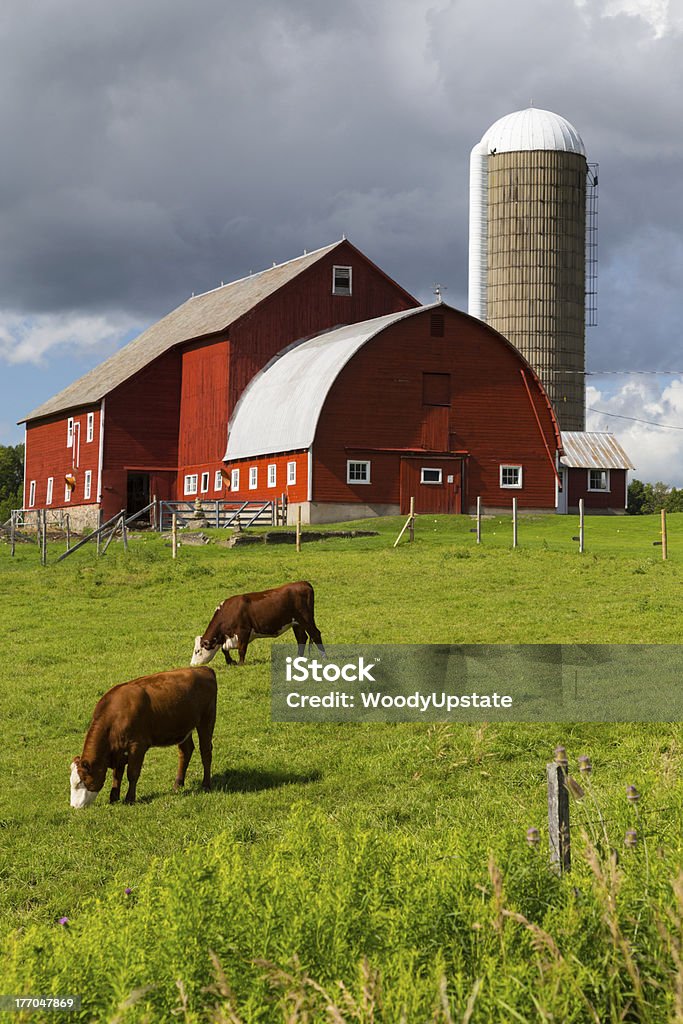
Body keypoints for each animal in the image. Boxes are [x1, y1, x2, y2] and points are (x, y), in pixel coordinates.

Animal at [69, 667, 216, 811]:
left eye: (81, 781)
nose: (74, 806)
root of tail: (204, 669)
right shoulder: (119, 751)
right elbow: (117, 774)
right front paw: (114, 798)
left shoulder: (137, 745)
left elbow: (132, 773)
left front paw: (129, 799)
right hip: (184, 727)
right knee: (185, 751)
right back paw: (177, 784)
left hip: (207, 719)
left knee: (206, 752)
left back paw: (206, 785)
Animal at [188, 581, 325, 667]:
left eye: (197, 651)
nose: (192, 664)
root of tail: (304, 583)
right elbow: (224, 649)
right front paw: (230, 661)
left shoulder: (243, 631)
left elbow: (241, 649)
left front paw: (240, 663)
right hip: (297, 623)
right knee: (302, 638)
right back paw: (297, 659)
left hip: (306, 619)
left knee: (316, 634)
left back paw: (324, 657)